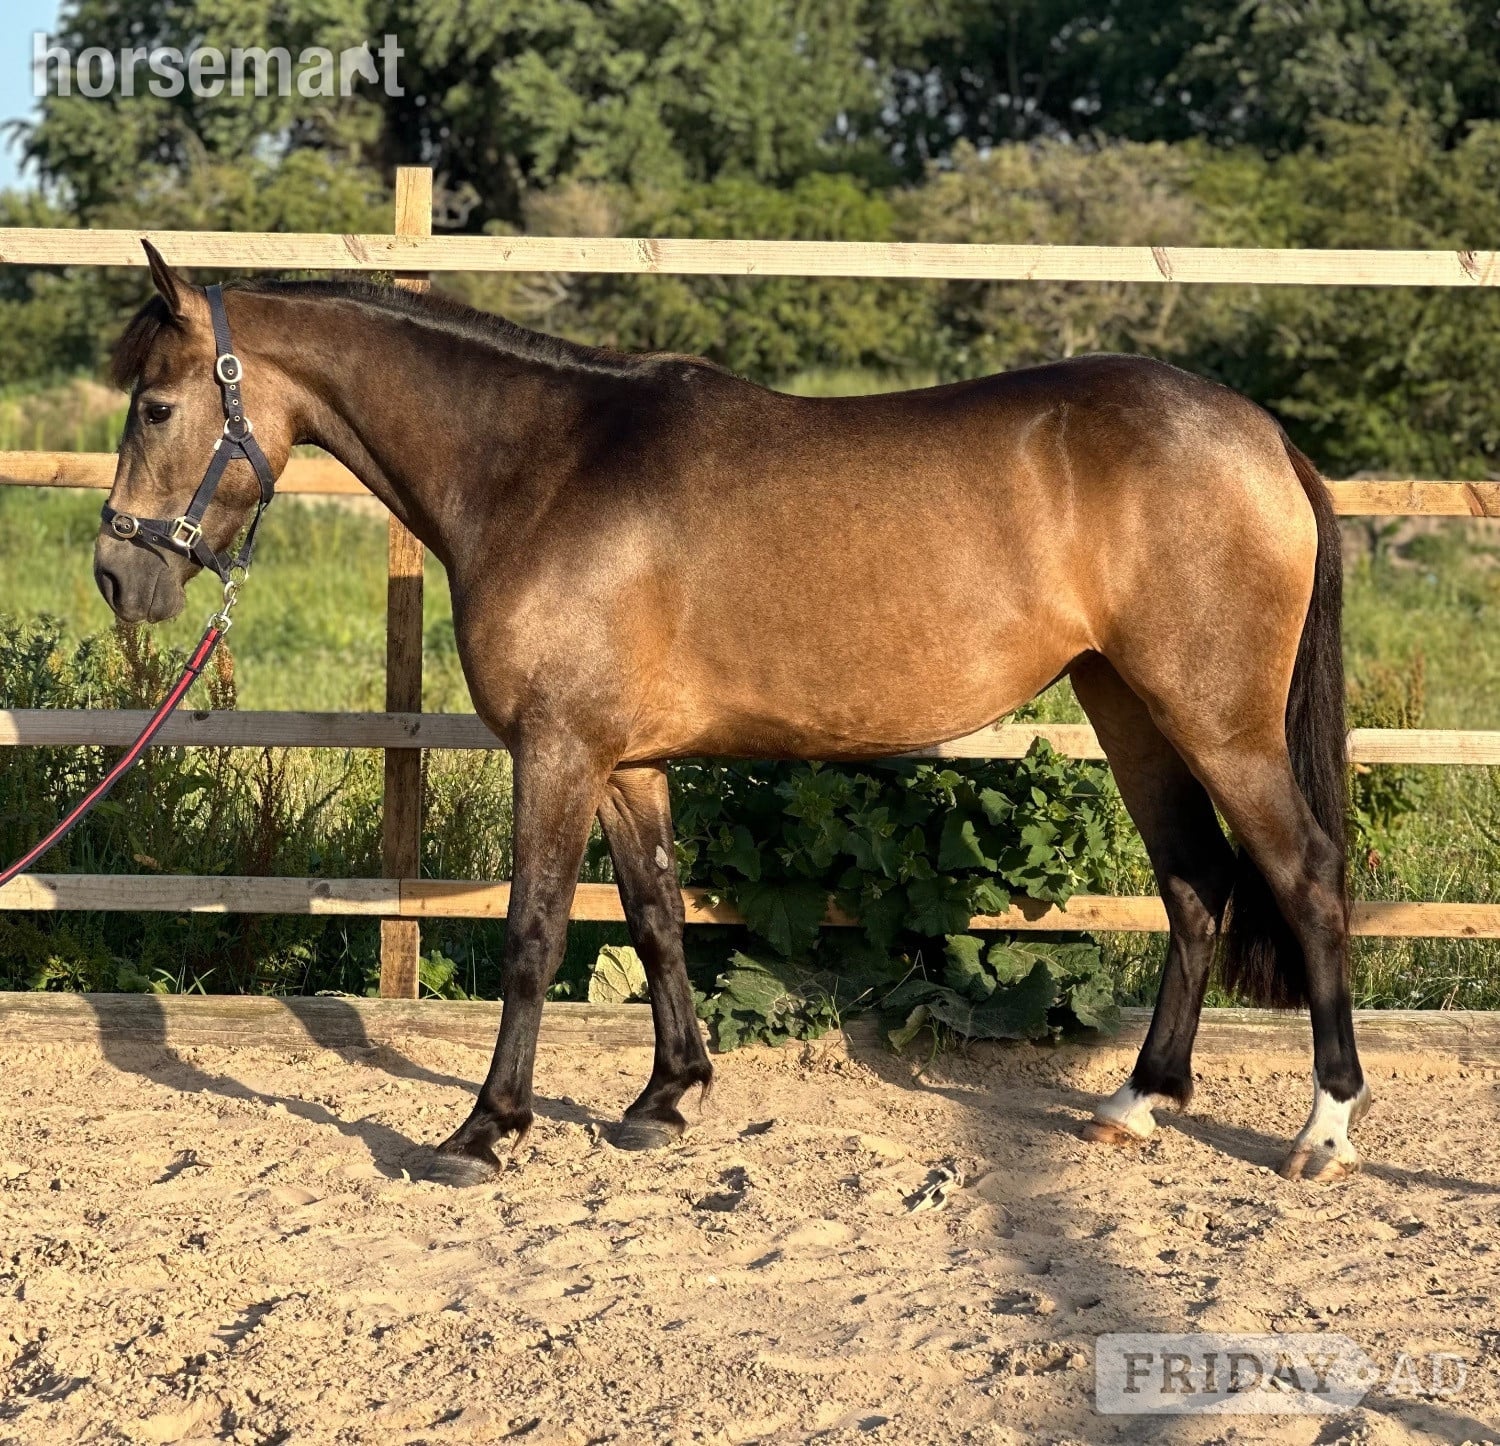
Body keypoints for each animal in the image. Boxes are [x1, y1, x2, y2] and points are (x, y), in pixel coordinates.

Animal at [94, 241, 1370, 1187]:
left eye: (155, 408)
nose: (119, 576)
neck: (543, 467)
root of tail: (1264, 436)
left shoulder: (556, 753)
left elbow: (533, 935)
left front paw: (487, 1129)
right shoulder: (625, 763)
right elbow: (657, 916)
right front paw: (666, 1096)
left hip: (1215, 718)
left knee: (1303, 876)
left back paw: (1323, 1129)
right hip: (1130, 706)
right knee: (1195, 885)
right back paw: (1139, 1100)